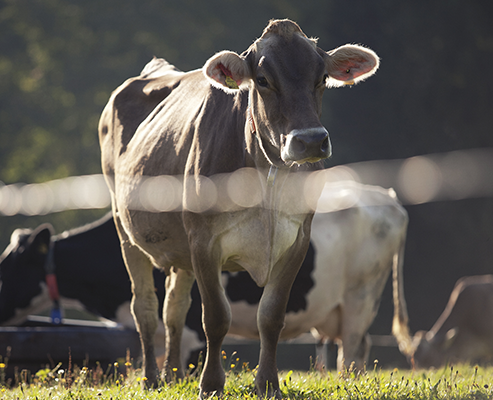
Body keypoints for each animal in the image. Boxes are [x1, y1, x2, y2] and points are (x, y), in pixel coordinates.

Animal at [98, 18, 378, 396]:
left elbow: (271, 317)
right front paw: (211, 384)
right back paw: (152, 379)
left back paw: (174, 373)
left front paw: (268, 384)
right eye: (262, 80)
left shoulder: (297, 240)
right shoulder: (203, 241)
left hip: (180, 250)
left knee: (174, 309)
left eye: (321, 77)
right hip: (125, 228)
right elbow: (216, 317)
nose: (310, 141)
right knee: (145, 307)